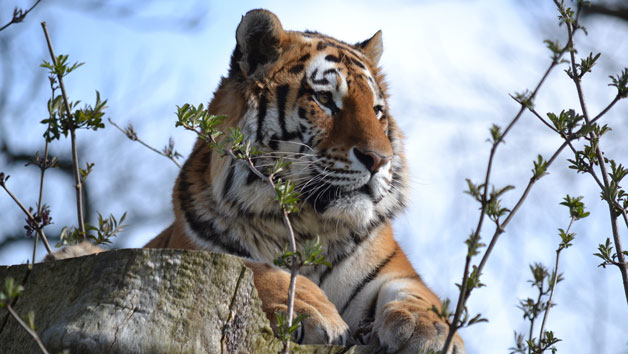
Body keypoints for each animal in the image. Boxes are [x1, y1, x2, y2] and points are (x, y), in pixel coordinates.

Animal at [137, 9, 464, 354]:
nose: (379, 160)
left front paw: (427, 327)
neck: (308, 227)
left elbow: (420, 294)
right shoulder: (194, 249)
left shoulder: (393, 268)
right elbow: (257, 267)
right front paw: (314, 310)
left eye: (377, 111)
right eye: (324, 99)